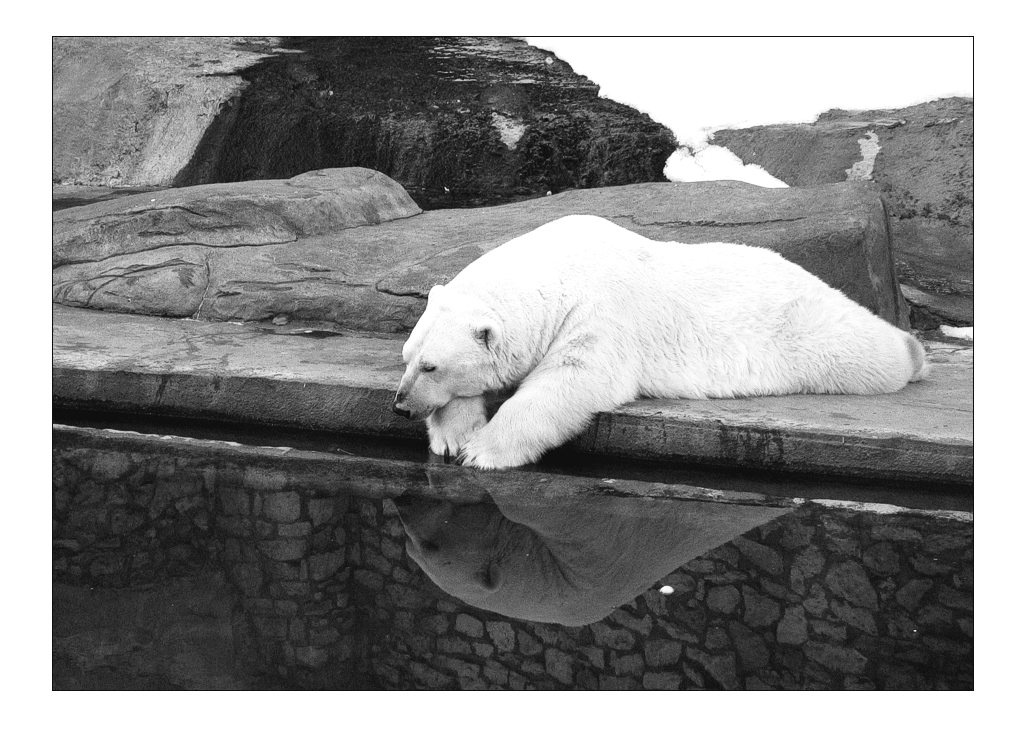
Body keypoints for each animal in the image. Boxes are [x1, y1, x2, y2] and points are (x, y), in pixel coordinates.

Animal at [393, 214, 928, 470]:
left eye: (431, 366)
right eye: (408, 358)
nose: (399, 405)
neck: (556, 269)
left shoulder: (599, 313)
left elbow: (570, 381)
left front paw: (482, 450)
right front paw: (453, 435)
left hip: (803, 330)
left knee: (861, 350)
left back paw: (913, 351)